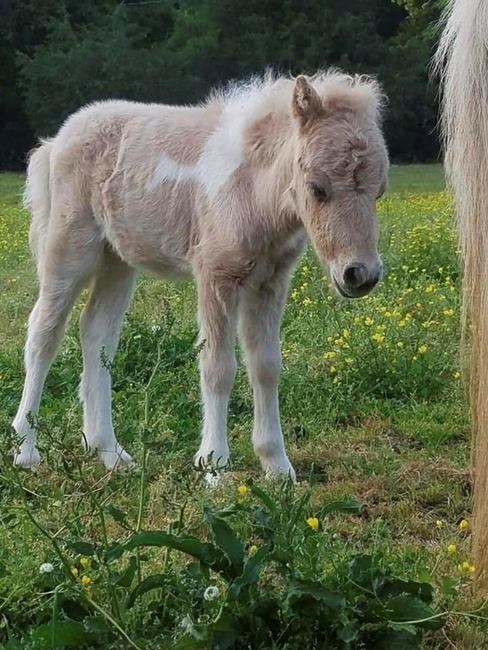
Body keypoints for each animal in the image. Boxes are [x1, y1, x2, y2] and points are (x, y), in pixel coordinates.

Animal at [13, 71, 388, 479]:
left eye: (379, 191)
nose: (359, 275)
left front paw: (277, 465)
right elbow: (218, 368)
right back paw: (25, 450)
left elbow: (266, 366)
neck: (252, 190)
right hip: (69, 248)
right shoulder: (216, 276)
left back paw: (109, 452)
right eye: (316, 188)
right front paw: (214, 465)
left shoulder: (270, 282)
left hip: (117, 259)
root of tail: (57, 140)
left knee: (97, 333)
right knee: (44, 333)